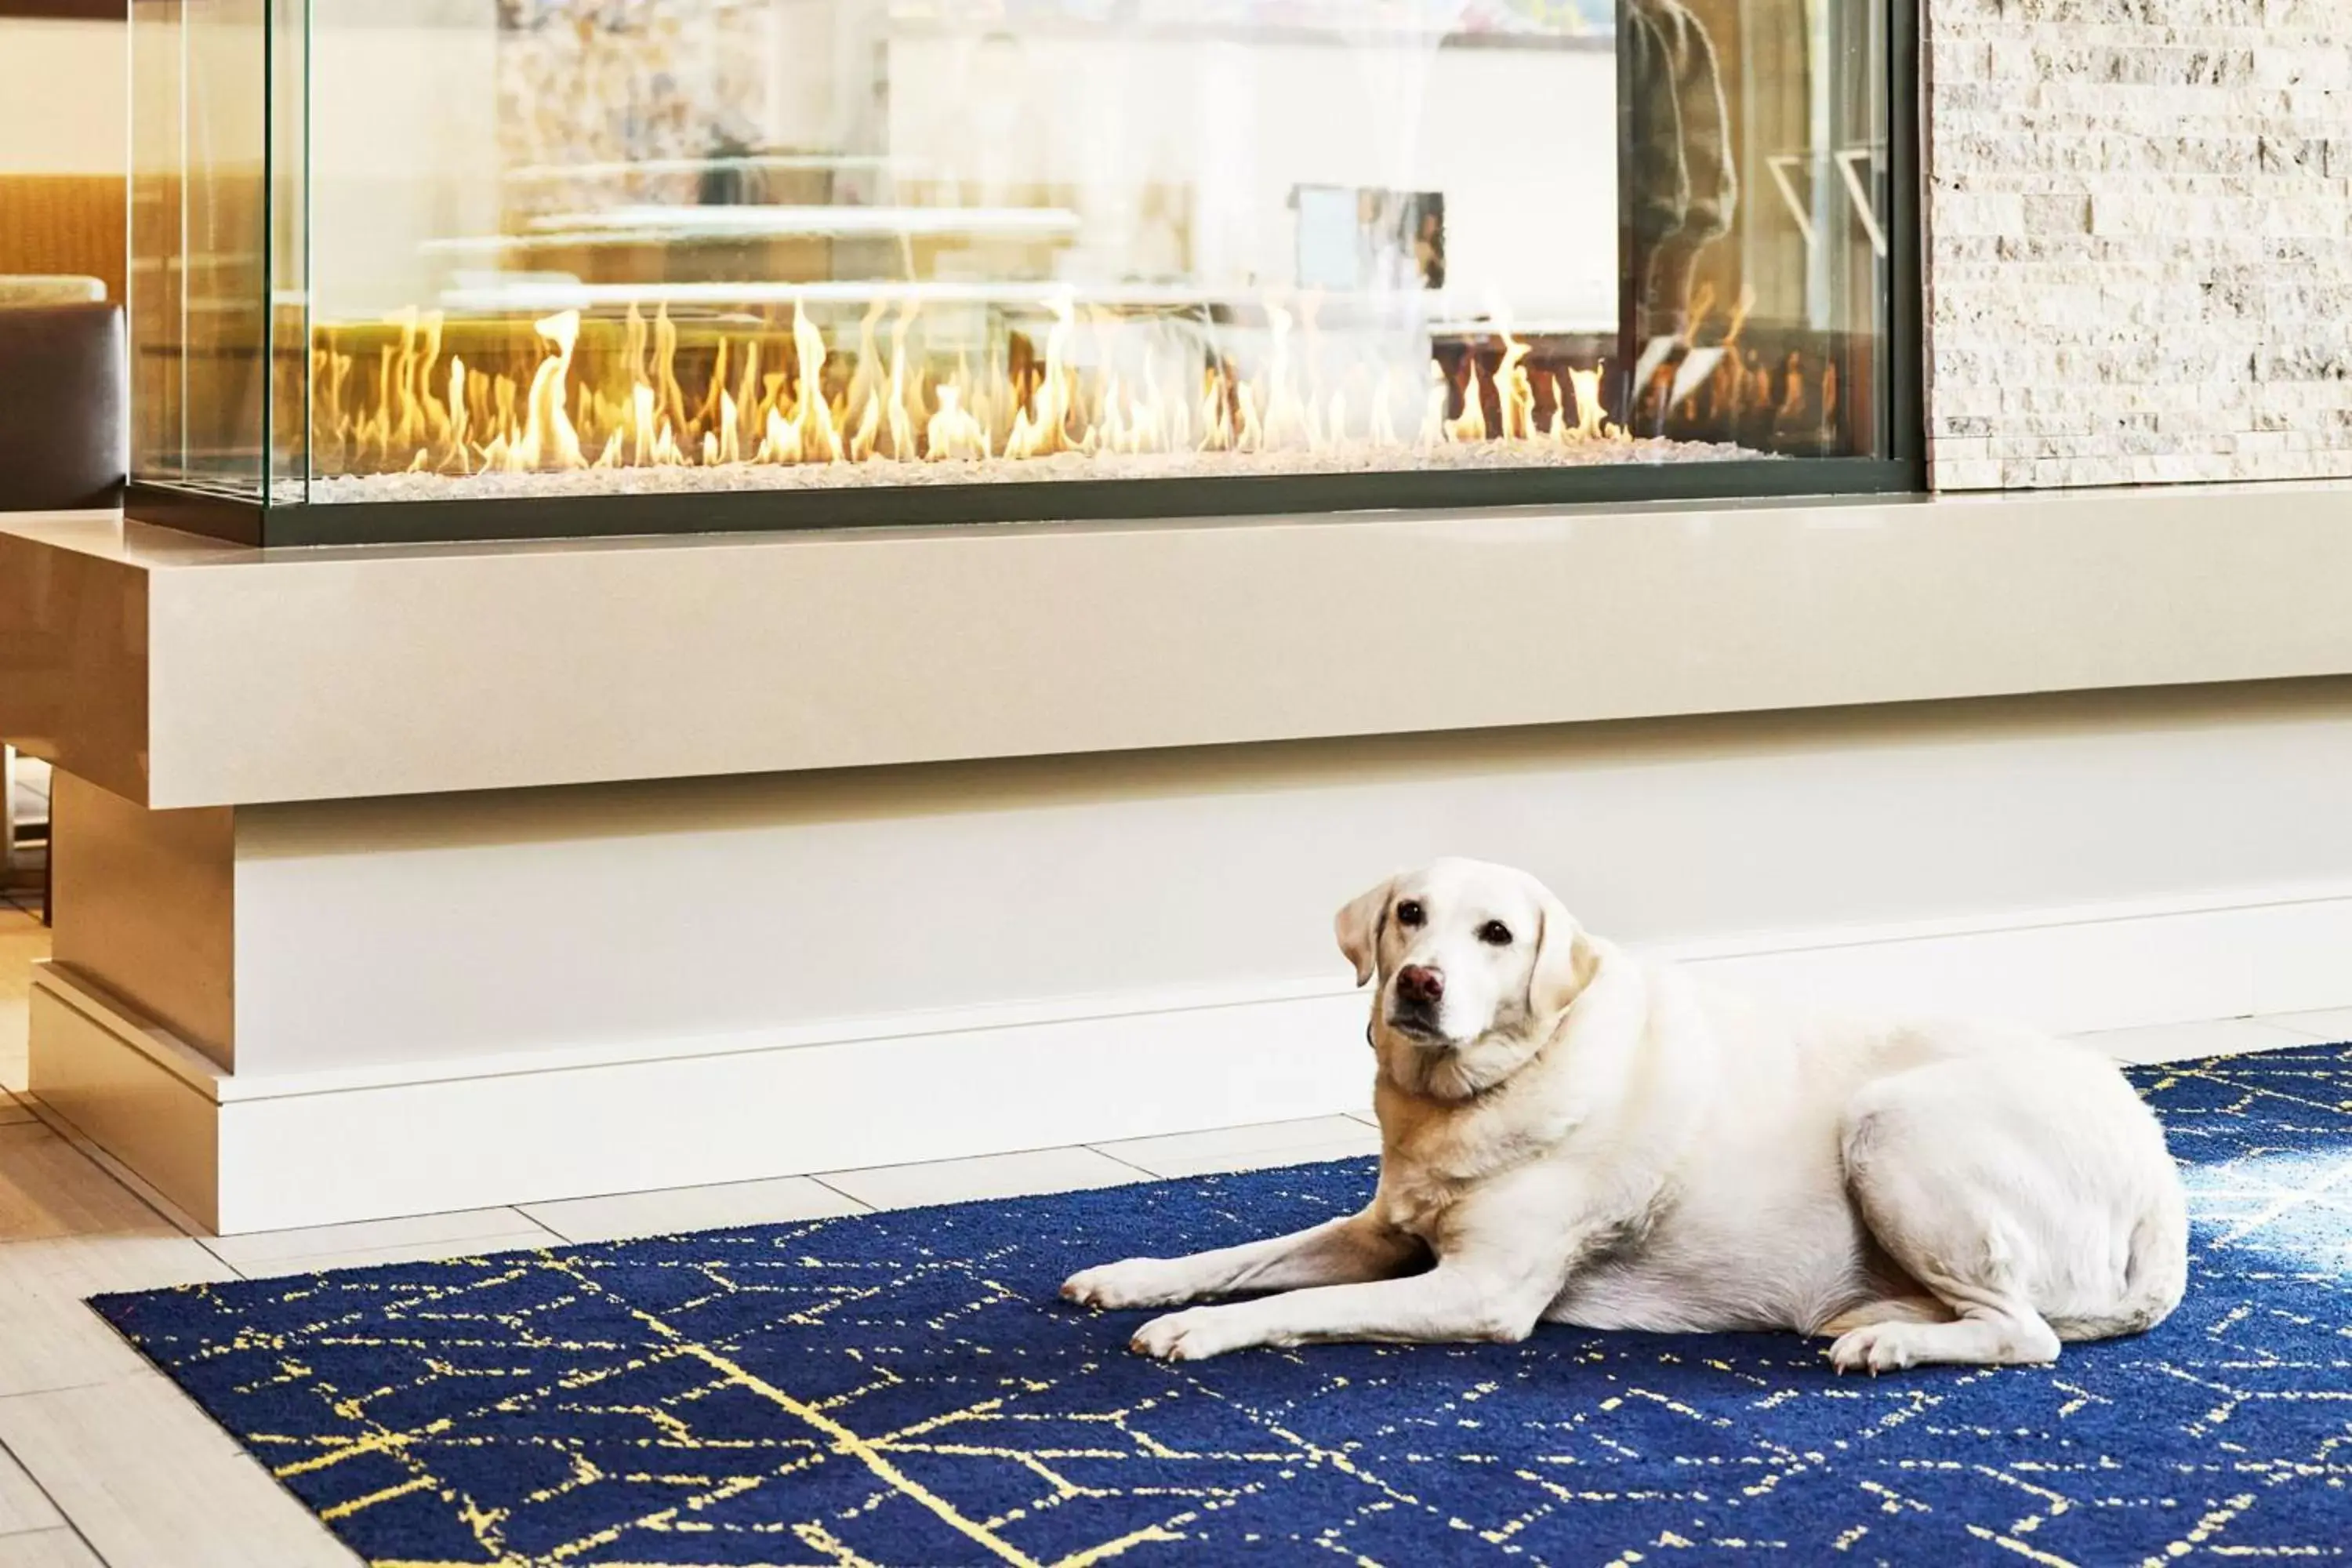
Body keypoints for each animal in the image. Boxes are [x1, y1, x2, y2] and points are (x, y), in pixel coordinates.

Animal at [1068, 860, 2183, 1373]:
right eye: (1409, 914)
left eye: (1498, 934)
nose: (1421, 982)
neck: (1477, 1091)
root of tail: (2163, 1178)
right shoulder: (1380, 1230)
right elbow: (1238, 1256)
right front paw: (1135, 1277)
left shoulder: (1477, 1292)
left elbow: (1302, 1304)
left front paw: (1196, 1329)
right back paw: (1884, 1316)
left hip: (1893, 1125)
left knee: (2024, 1332)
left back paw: (1894, 1345)